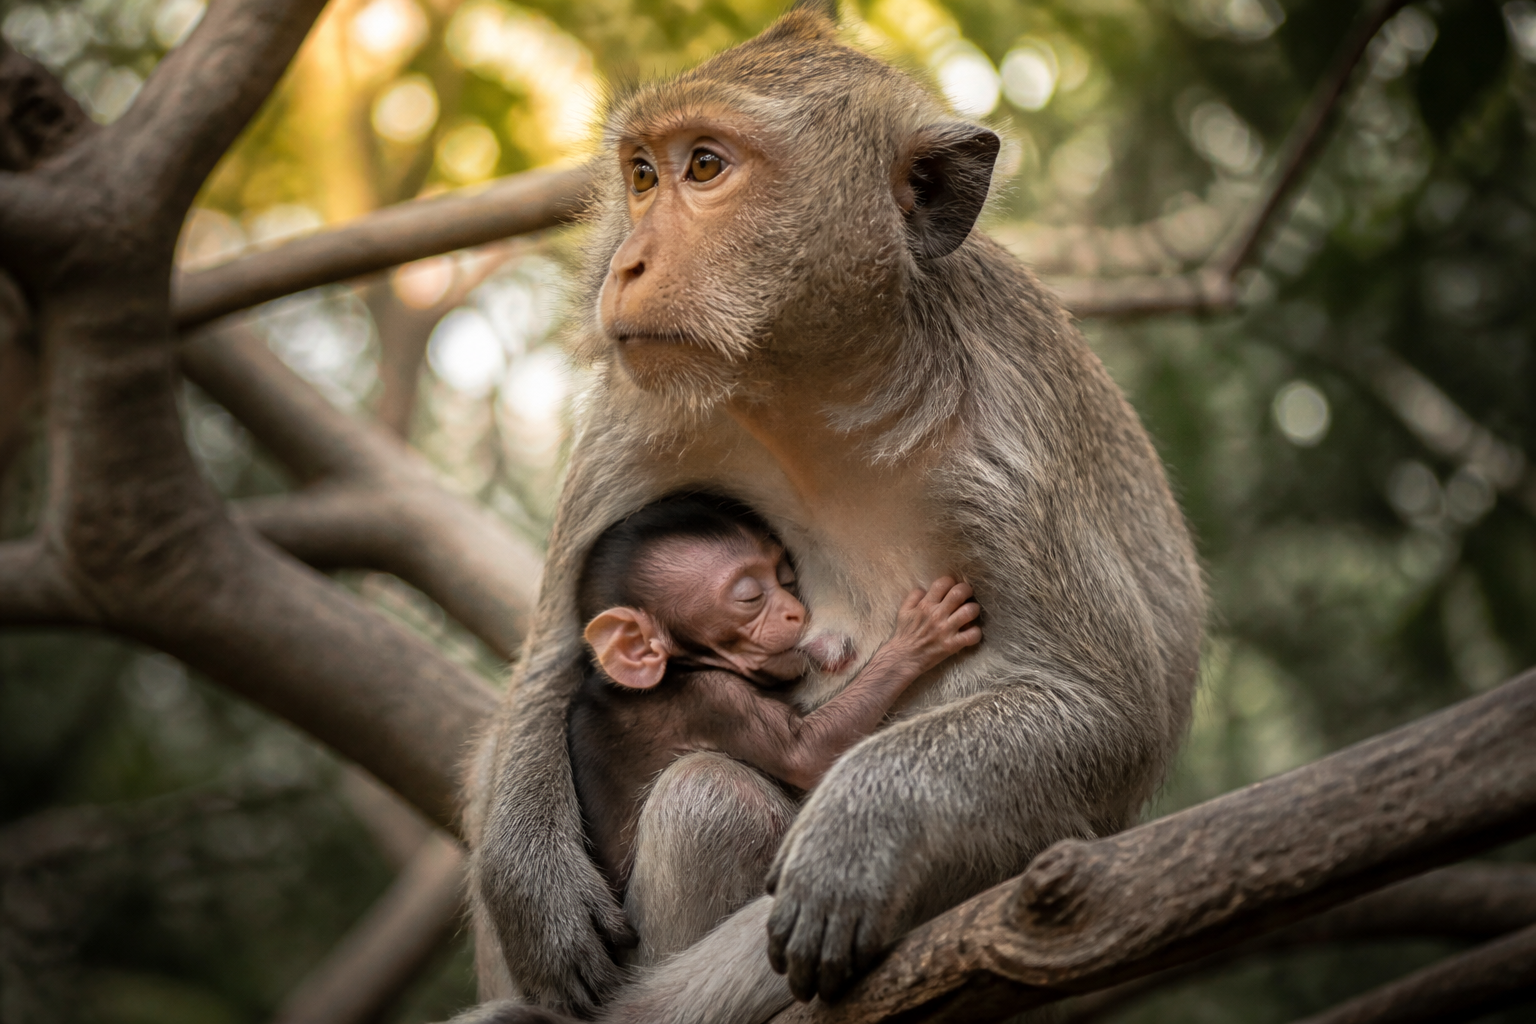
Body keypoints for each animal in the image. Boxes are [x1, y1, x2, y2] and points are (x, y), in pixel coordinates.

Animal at [567, 493, 982, 966]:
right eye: (749, 598)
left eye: (784, 576)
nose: (795, 612)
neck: (680, 665)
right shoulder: (714, 698)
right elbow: (805, 752)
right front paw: (916, 638)